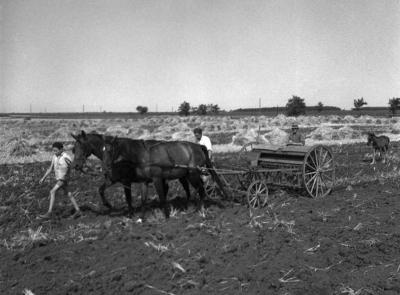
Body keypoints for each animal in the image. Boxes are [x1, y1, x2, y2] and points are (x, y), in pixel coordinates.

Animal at [101, 138, 230, 219]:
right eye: (102, 150)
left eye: (110, 150)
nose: (105, 167)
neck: (144, 155)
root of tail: (198, 146)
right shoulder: (144, 181)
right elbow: (143, 199)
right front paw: (141, 218)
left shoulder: (157, 178)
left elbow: (162, 197)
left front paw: (167, 216)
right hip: (188, 175)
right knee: (198, 189)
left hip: (193, 174)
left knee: (202, 190)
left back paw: (199, 210)